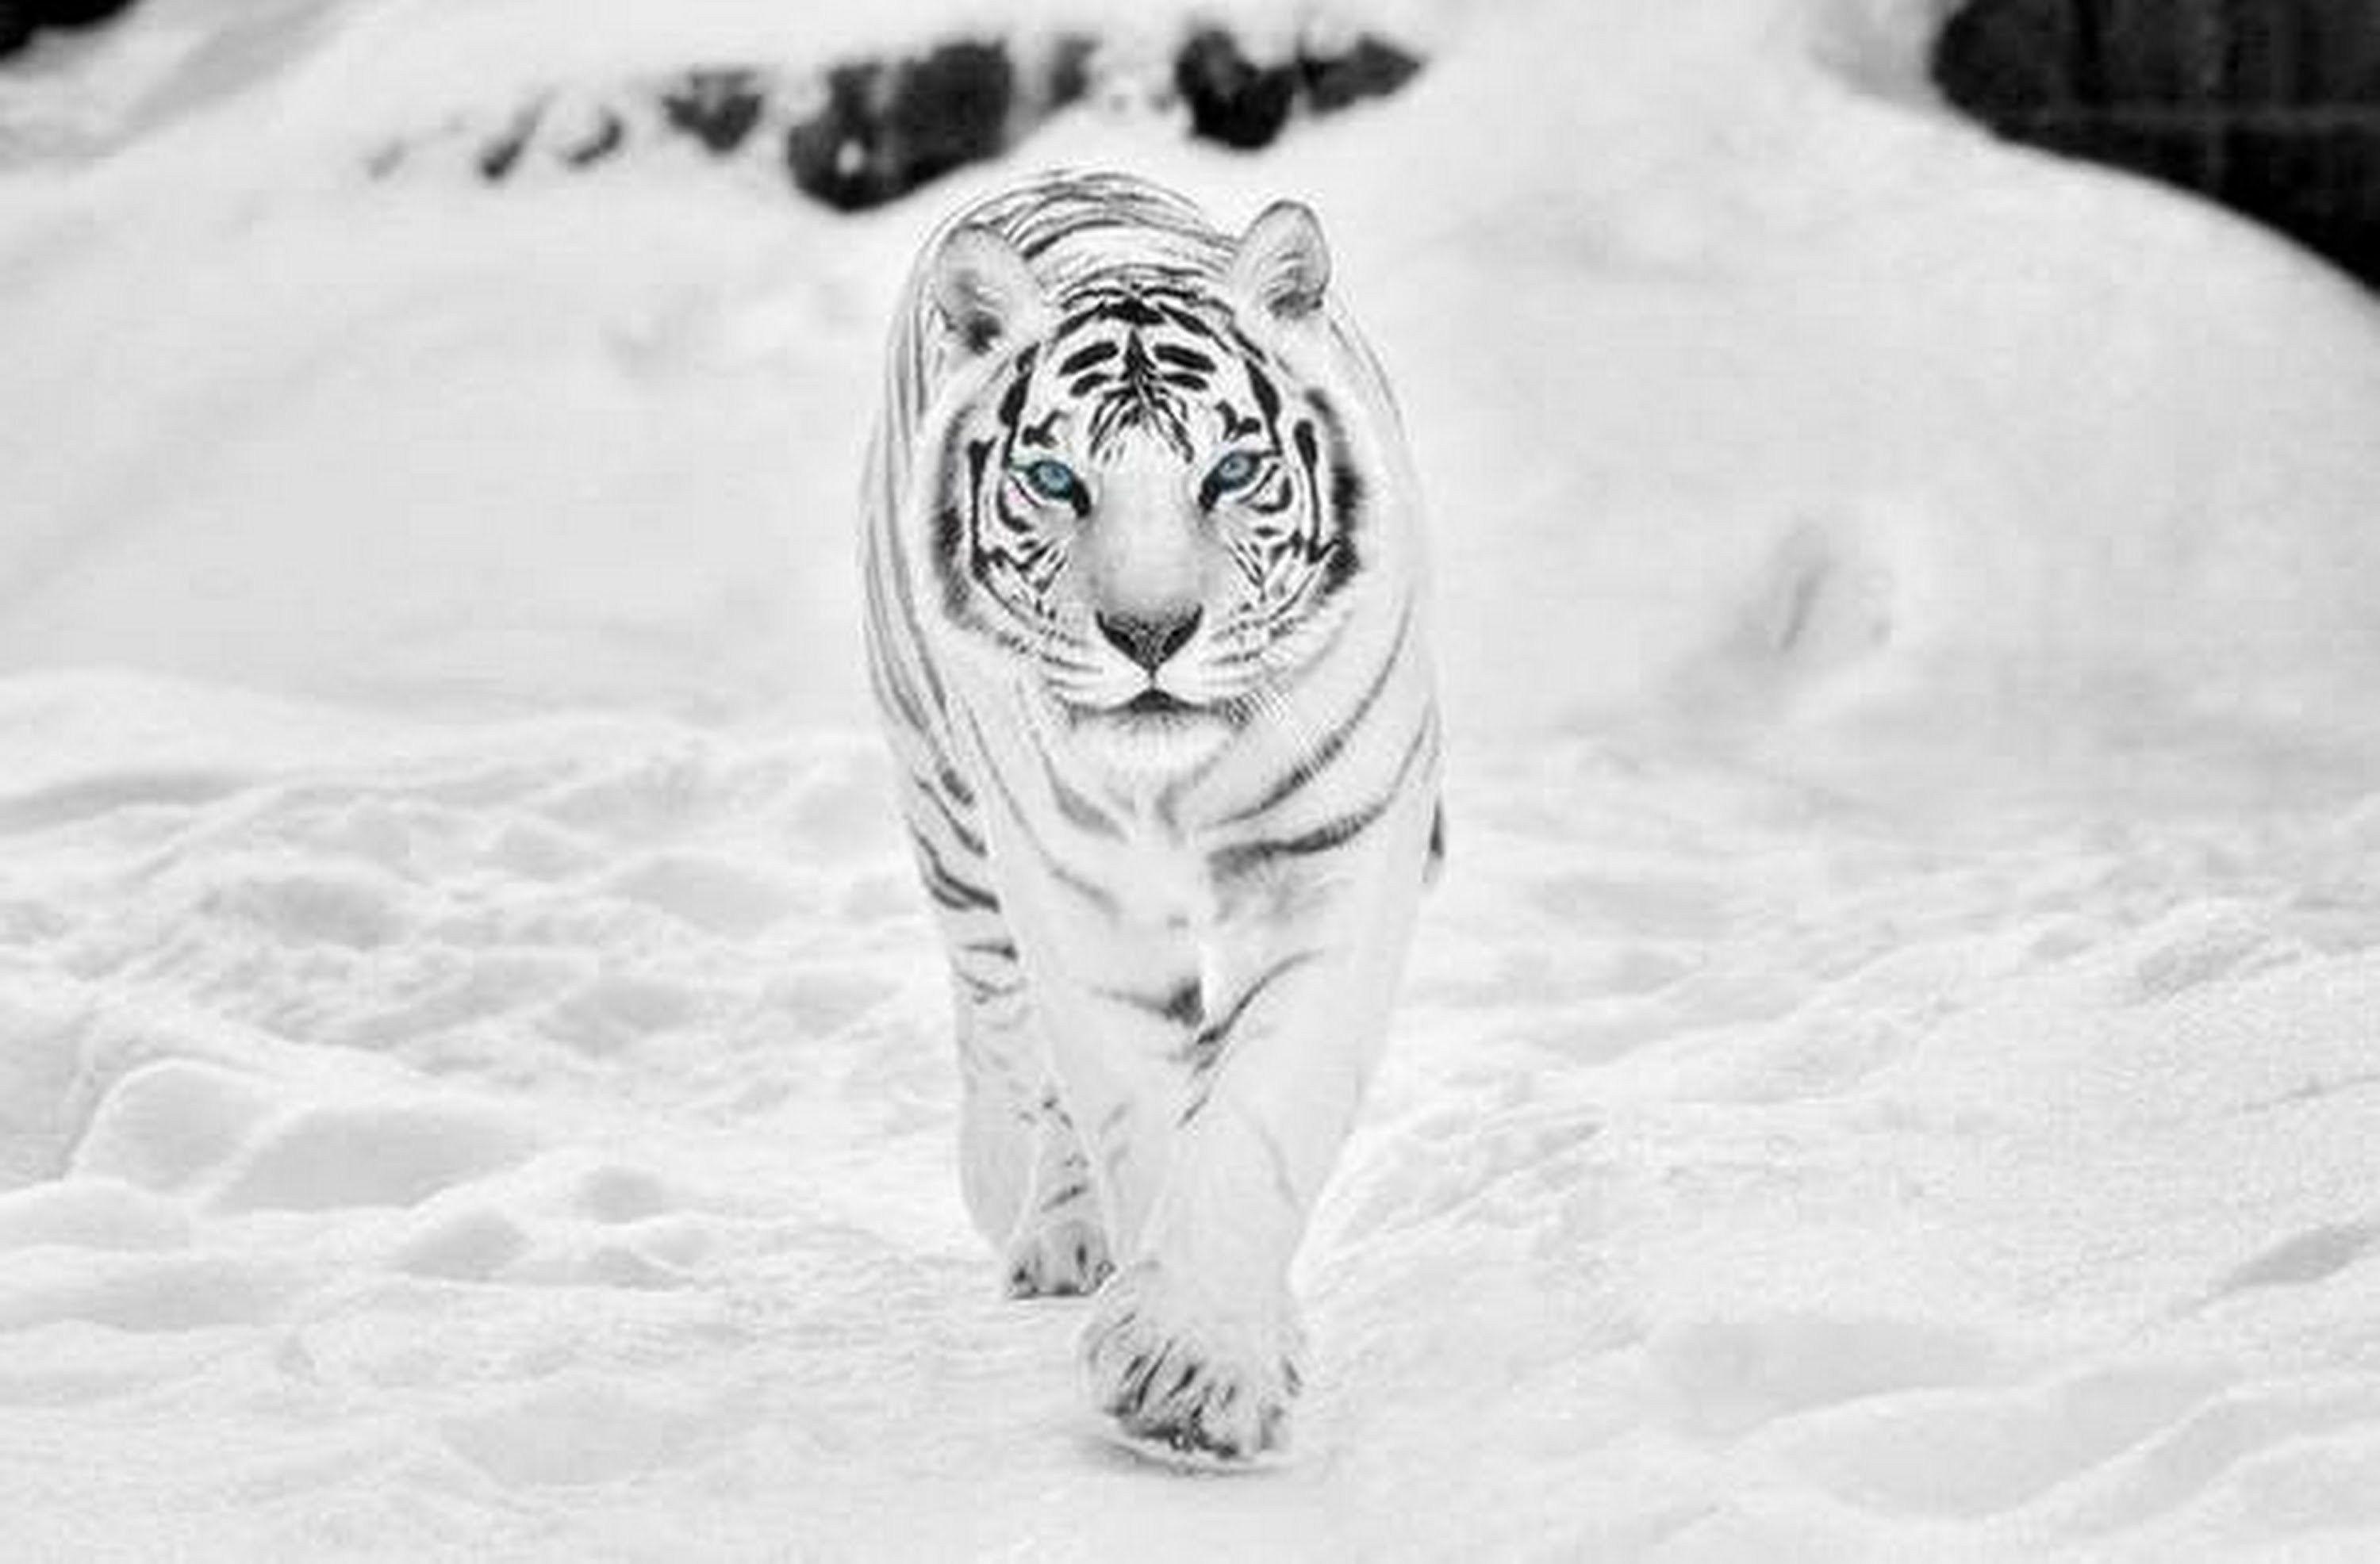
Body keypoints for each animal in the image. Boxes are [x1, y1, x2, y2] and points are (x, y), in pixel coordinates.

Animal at [860, 169, 1441, 1465]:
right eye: (1056, 481)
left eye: (1228, 474)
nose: (1149, 635)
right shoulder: (1080, 901)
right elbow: (1132, 1099)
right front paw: (1189, 1352)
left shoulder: (1338, 865)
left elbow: (1262, 1107)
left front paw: (1201, 1365)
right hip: (947, 805)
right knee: (1000, 1015)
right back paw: (1029, 1206)